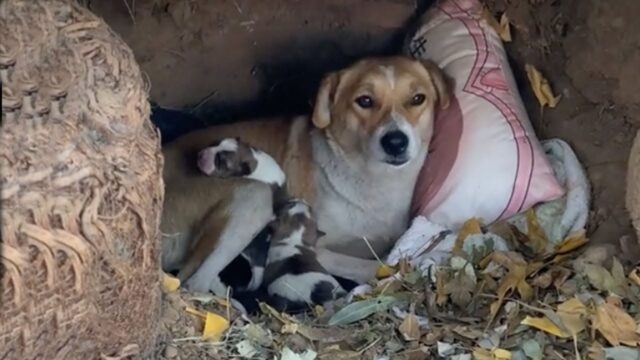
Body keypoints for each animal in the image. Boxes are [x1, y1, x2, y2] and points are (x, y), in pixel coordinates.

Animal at [160, 55, 450, 296]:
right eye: (365, 101)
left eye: (417, 99)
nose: (395, 142)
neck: (372, 180)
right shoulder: (319, 247)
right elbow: (374, 265)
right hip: (252, 195)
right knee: (192, 282)